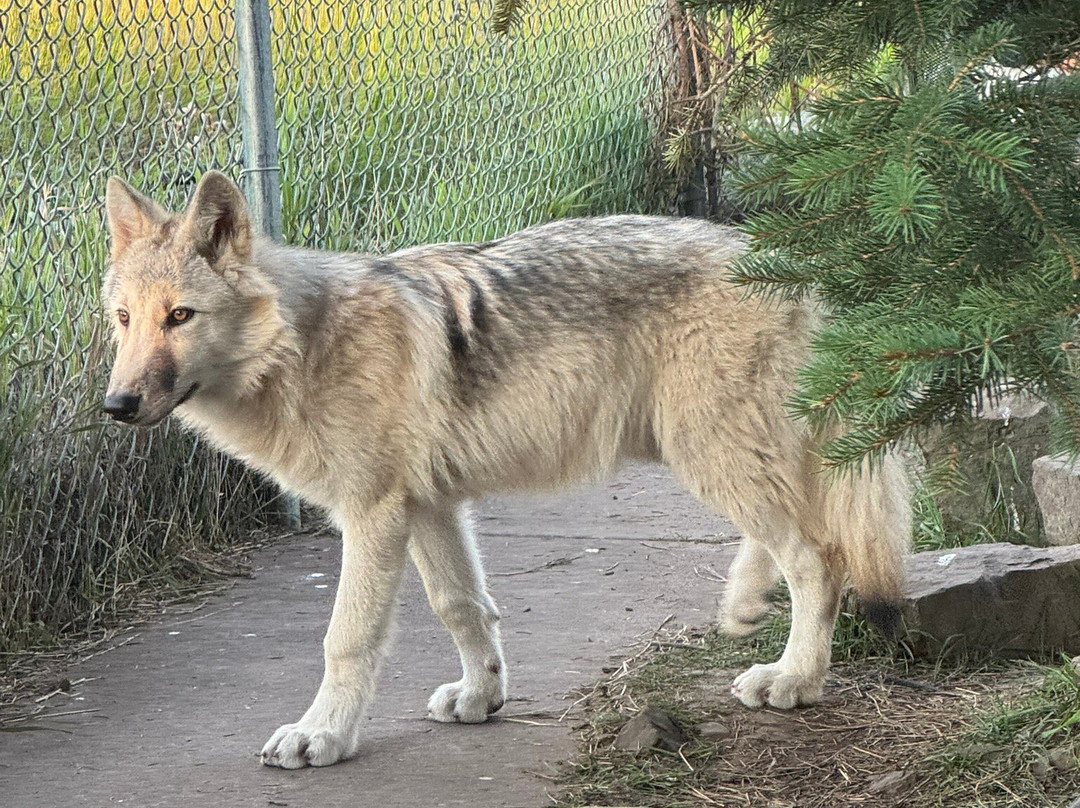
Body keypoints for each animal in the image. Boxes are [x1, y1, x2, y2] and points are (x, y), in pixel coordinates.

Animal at [101, 171, 911, 769]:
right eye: (125, 319)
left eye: (180, 316)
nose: (116, 404)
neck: (306, 345)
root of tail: (796, 260)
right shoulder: (428, 506)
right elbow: (462, 607)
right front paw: (482, 697)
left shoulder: (372, 515)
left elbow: (346, 639)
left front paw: (322, 735)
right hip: (716, 453)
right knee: (788, 542)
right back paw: (743, 607)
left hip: (709, 452)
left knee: (820, 559)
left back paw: (794, 680)